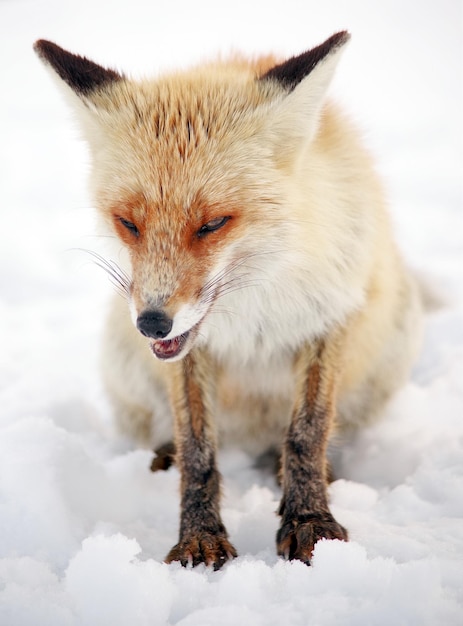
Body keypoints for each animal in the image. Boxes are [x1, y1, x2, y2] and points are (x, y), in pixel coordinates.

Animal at [34, 33, 422, 564]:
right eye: (128, 223)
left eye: (213, 223)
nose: (152, 323)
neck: (252, 310)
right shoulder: (188, 355)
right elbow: (197, 449)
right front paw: (198, 535)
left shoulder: (327, 317)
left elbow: (308, 432)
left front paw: (310, 520)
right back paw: (163, 456)